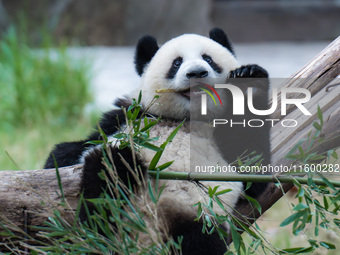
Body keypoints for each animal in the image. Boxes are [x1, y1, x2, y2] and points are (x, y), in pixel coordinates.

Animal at [43, 27, 270, 255]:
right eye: (177, 63)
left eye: (208, 59)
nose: (197, 73)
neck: (184, 120)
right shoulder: (130, 117)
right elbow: (72, 151)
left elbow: (252, 168)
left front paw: (250, 77)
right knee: (110, 172)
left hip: (200, 220)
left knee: (200, 241)